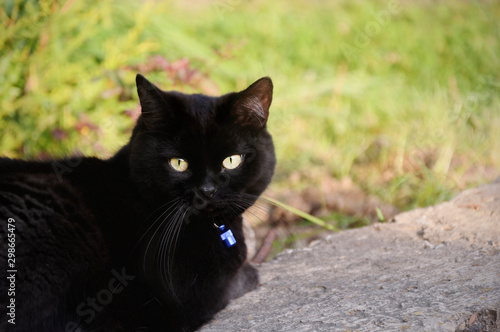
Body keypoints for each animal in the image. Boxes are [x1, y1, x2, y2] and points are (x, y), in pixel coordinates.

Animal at [0, 75, 276, 332]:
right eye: (178, 163)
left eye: (231, 160)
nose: (207, 191)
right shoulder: (193, 295)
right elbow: (242, 278)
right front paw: (251, 271)